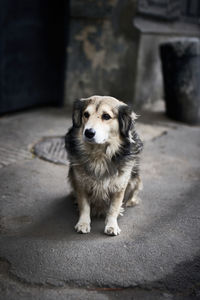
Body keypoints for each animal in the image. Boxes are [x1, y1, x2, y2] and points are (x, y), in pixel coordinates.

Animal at [65, 95, 143, 236]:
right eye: (86, 114)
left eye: (106, 116)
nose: (88, 132)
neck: (99, 154)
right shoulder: (80, 183)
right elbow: (84, 206)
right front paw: (83, 223)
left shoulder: (119, 186)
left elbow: (113, 208)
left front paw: (112, 225)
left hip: (135, 177)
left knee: (135, 189)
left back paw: (131, 201)